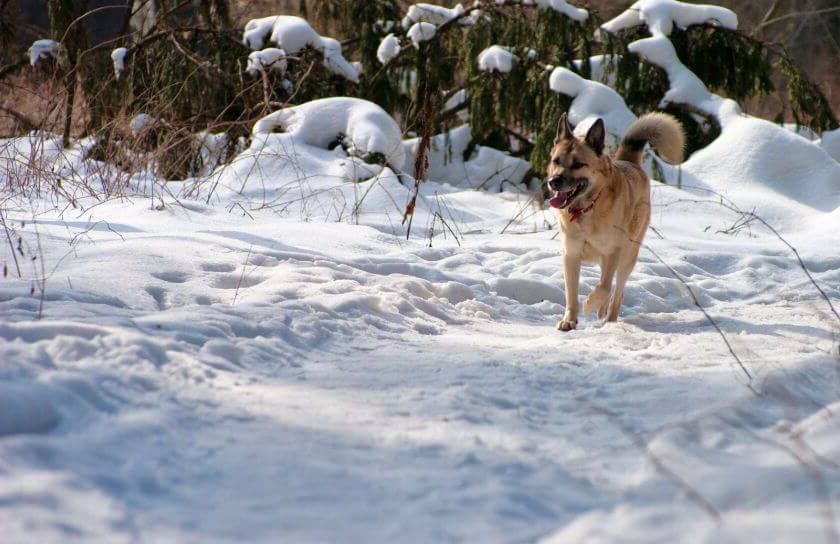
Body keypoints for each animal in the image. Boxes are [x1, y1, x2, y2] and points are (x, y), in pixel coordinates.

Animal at [548, 112, 684, 330]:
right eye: (556, 160)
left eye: (578, 164)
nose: (553, 182)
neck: (587, 208)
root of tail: (630, 163)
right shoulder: (570, 255)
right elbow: (571, 293)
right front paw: (569, 320)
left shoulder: (613, 252)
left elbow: (604, 287)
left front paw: (589, 304)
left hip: (627, 257)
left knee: (616, 291)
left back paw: (609, 320)